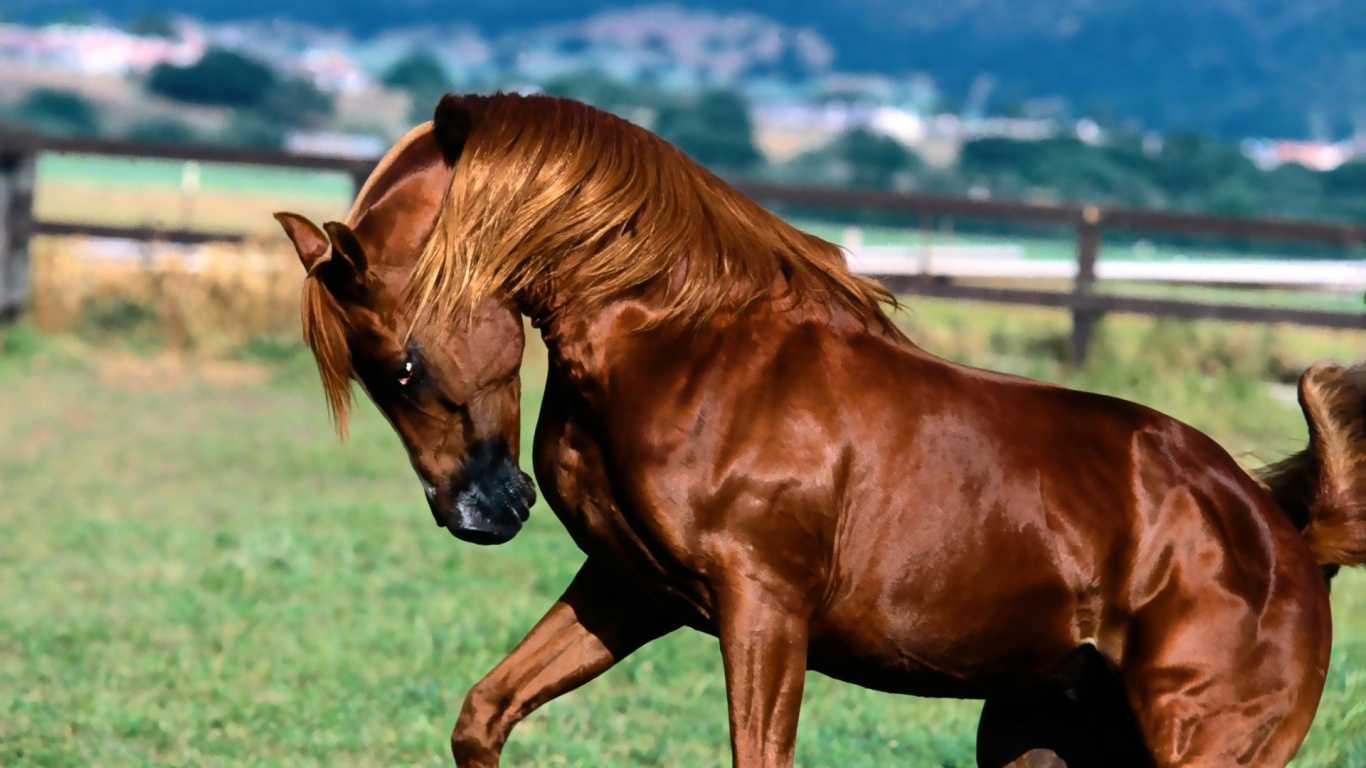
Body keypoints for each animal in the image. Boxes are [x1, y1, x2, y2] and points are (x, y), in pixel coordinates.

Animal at [273, 92, 1366, 768]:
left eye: (401, 365)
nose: (481, 513)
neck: (684, 346)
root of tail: (1287, 540)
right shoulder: (631, 589)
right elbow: (484, 714)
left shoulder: (763, 607)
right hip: (1038, 737)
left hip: (1196, 745)